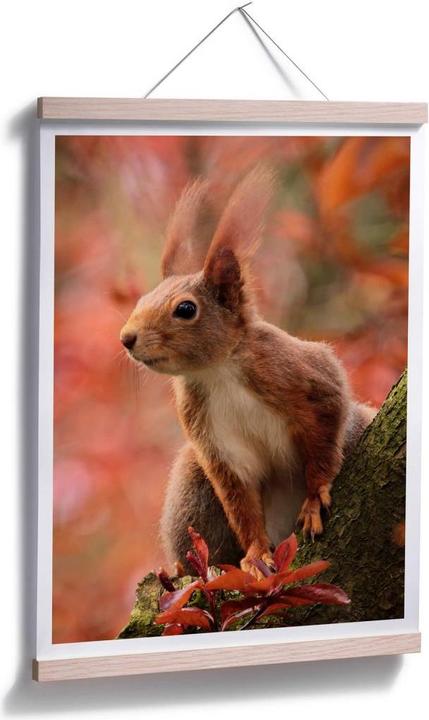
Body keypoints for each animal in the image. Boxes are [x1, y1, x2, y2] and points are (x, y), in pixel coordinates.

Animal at [120, 168, 376, 578]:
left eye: (186, 309)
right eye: (142, 299)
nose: (126, 338)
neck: (217, 372)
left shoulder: (302, 375)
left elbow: (325, 426)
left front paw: (315, 496)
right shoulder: (214, 442)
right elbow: (239, 501)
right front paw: (255, 555)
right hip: (191, 483)